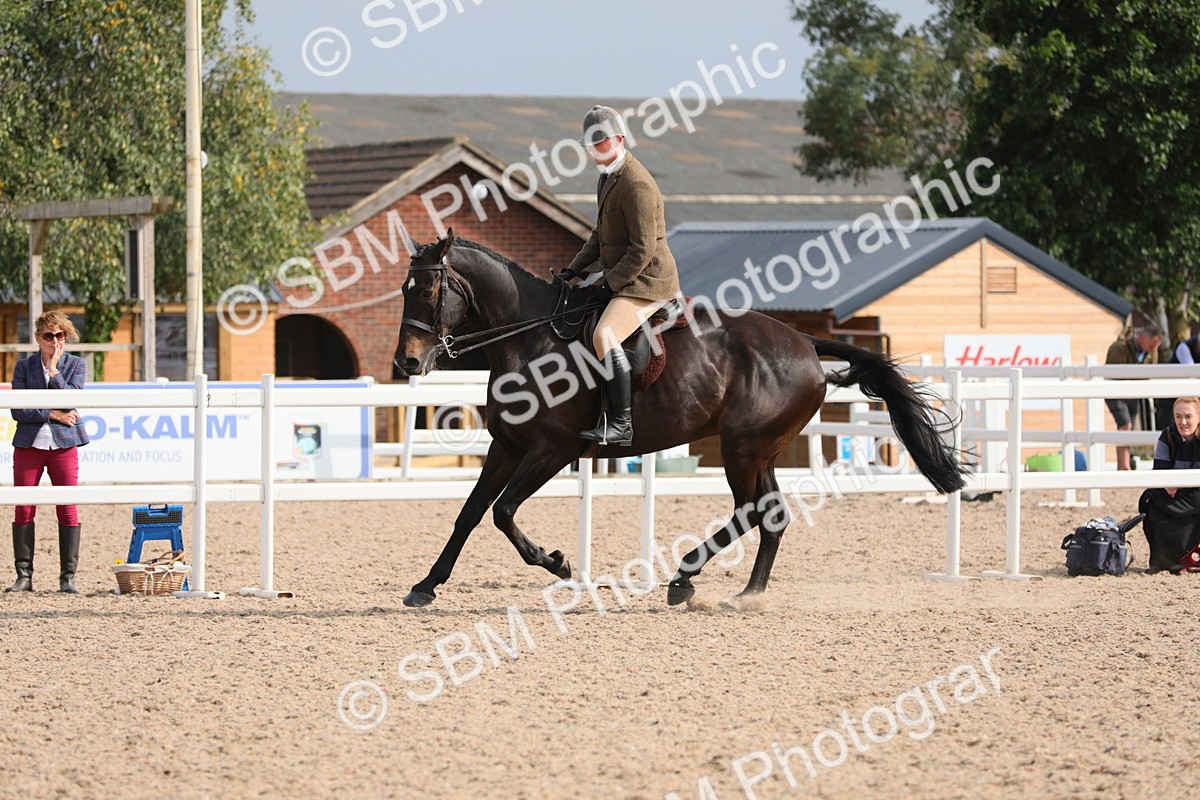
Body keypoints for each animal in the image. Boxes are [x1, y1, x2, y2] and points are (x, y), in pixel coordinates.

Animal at [394, 230, 967, 608]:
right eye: (404, 290)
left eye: (428, 291)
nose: (407, 363)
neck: (530, 339)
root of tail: (805, 342)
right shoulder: (507, 446)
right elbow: (470, 513)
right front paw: (426, 585)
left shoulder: (552, 450)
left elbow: (504, 512)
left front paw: (557, 562)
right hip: (760, 450)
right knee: (772, 515)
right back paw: (747, 593)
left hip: (741, 449)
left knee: (750, 511)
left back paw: (683, 580)